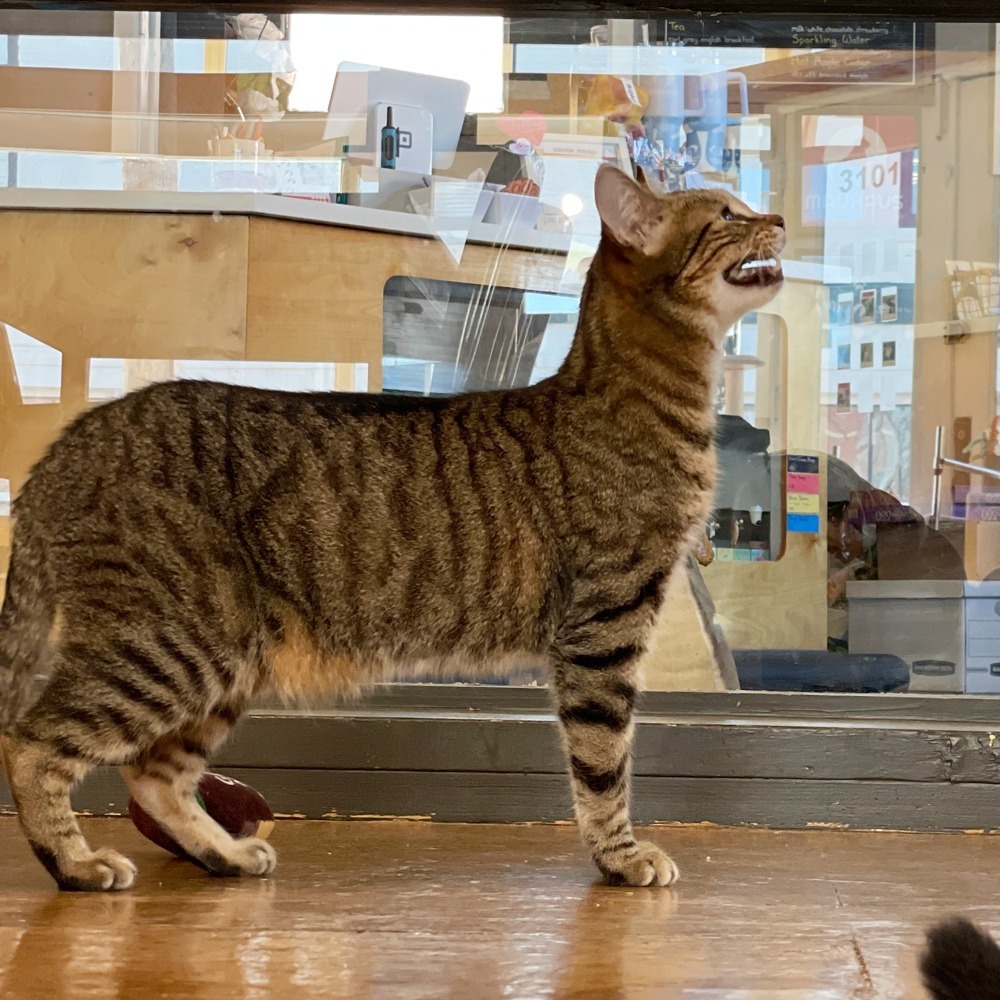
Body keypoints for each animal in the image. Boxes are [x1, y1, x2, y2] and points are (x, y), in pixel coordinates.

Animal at [0, 166, 780, 892]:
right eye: (727, 216)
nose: (775, 218)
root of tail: (67, 446)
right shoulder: (604, 630)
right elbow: (603, 764)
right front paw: (619, 857)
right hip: (169, 645)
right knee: (31, 741)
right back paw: (74, 863)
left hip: (223, 664)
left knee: (151, 773)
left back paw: (223, 853)